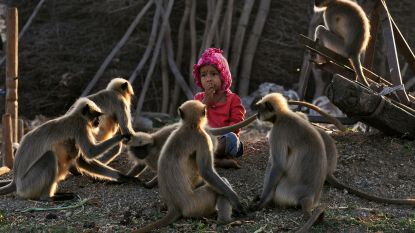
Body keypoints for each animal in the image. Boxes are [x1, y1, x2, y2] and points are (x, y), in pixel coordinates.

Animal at [0, 97, 131, 201]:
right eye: (96, 116)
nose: (98, 122)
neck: (76, 116)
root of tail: (15, 181)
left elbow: (83, 161)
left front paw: (124, 177)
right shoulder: (80, 127)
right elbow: (90, 152)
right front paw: (122, 136)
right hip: (28, 183)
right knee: (50, 156)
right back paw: (48, 197)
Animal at [132, 100, 244, 233]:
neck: (189, 126)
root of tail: (174, 207)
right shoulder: (202, 137)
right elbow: (206, 172)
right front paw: (236, 201)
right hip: (195, 204)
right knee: (218, 187)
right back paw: (225, 221)